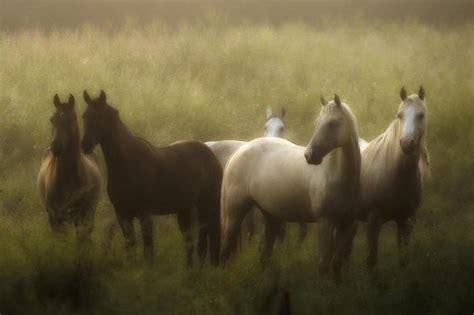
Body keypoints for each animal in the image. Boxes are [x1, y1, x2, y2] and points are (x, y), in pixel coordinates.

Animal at [37, 94, 102, 247]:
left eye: (71, 119)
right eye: (52, 119)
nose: (56, 146)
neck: (69, 178)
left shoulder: (83, 216)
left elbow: (82, 242)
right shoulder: (56, 218)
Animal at [81, 90, 222, 266]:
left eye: (100, 116)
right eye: (84, 116)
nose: (85, 145)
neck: (127, 162)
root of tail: (211, 154)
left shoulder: (145, 215)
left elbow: (148, 251)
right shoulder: (122, 215)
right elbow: (131, 248)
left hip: (207, 206)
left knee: (202, 245)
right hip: (185, 209)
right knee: (189, 243)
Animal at [220, 95, 362, 278]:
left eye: (333, 123)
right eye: (317, 122)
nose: (310, 156)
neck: (338, 175)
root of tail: (237, 153)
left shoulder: (347, 223)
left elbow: (336, 263)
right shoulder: (325, 221)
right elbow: (324, 263)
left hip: (271, 216)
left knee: (264, 253)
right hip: (234, 212)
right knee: (226, 248)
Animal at [356, 86, 430, 270]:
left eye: (421, 115)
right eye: (400, 115)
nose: (406, 143)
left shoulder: (406, 221)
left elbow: (403, 258)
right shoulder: (373, 221)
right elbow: (371, 260)